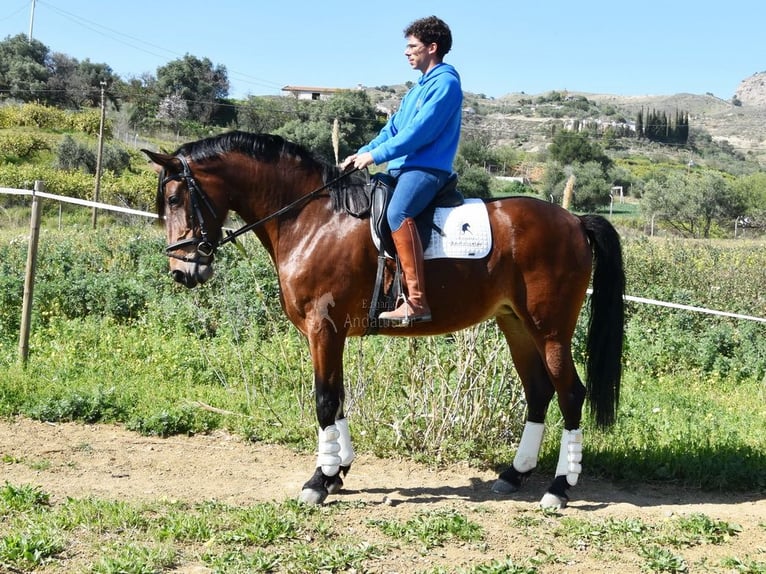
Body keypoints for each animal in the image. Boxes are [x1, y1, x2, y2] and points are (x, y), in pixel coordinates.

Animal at [142, 133, 624, 510]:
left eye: (175, 198)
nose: (183, 272)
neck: (311, 218)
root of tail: (574, 219)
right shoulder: (330, 334)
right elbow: (338, 398)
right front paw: (337, 471)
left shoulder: (323, 328)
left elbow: (324, 400)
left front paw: (318, 481)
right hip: (516, 325)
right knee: (539, 391)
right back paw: (514, 474)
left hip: (550, 329)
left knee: (570, 394)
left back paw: (559, 488)